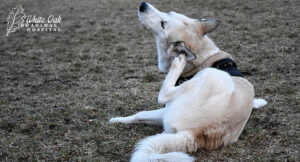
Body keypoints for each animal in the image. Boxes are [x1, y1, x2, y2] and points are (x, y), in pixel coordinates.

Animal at [108, 2, 268, 162]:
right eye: (169, 12)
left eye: (163, 24)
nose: (143, 5)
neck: (203, 60)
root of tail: (195, 134)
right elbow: (140, 115)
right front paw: (117, 120)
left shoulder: (167, 108)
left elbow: (142, 112)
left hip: (214, 76)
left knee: (163, 95)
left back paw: (178, 63)